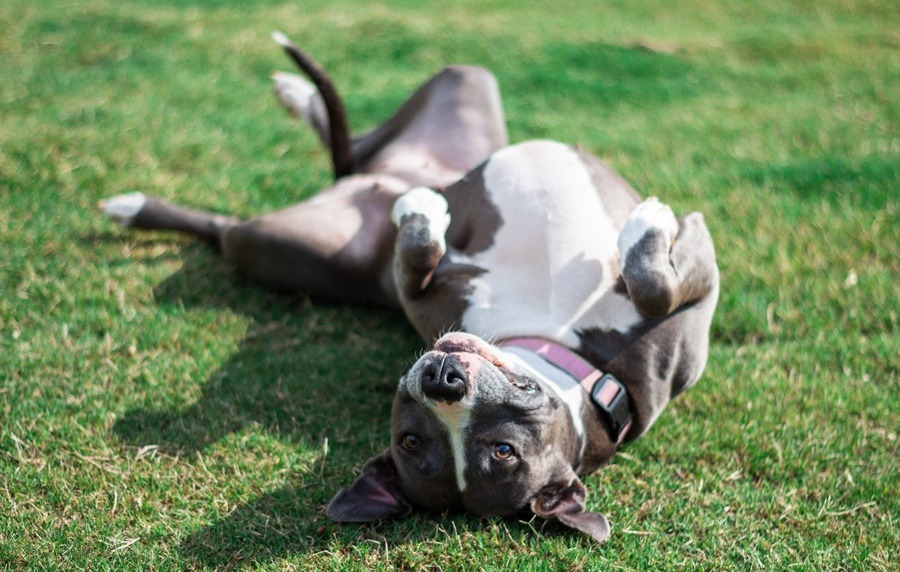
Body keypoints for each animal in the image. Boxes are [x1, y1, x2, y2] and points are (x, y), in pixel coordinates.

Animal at [100, 33, 716, 544]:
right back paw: (297, 104)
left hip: (278, 241)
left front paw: (649, 224)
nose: (442, 380)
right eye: (412, 441)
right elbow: (421, 253)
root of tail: (357, 179)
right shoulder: (423, 290)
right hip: (459, 90)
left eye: (502, 451)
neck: (563, 347)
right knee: (349, 147)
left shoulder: (698, 290)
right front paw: (424, 211)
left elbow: (656, 286)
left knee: (248, 216)